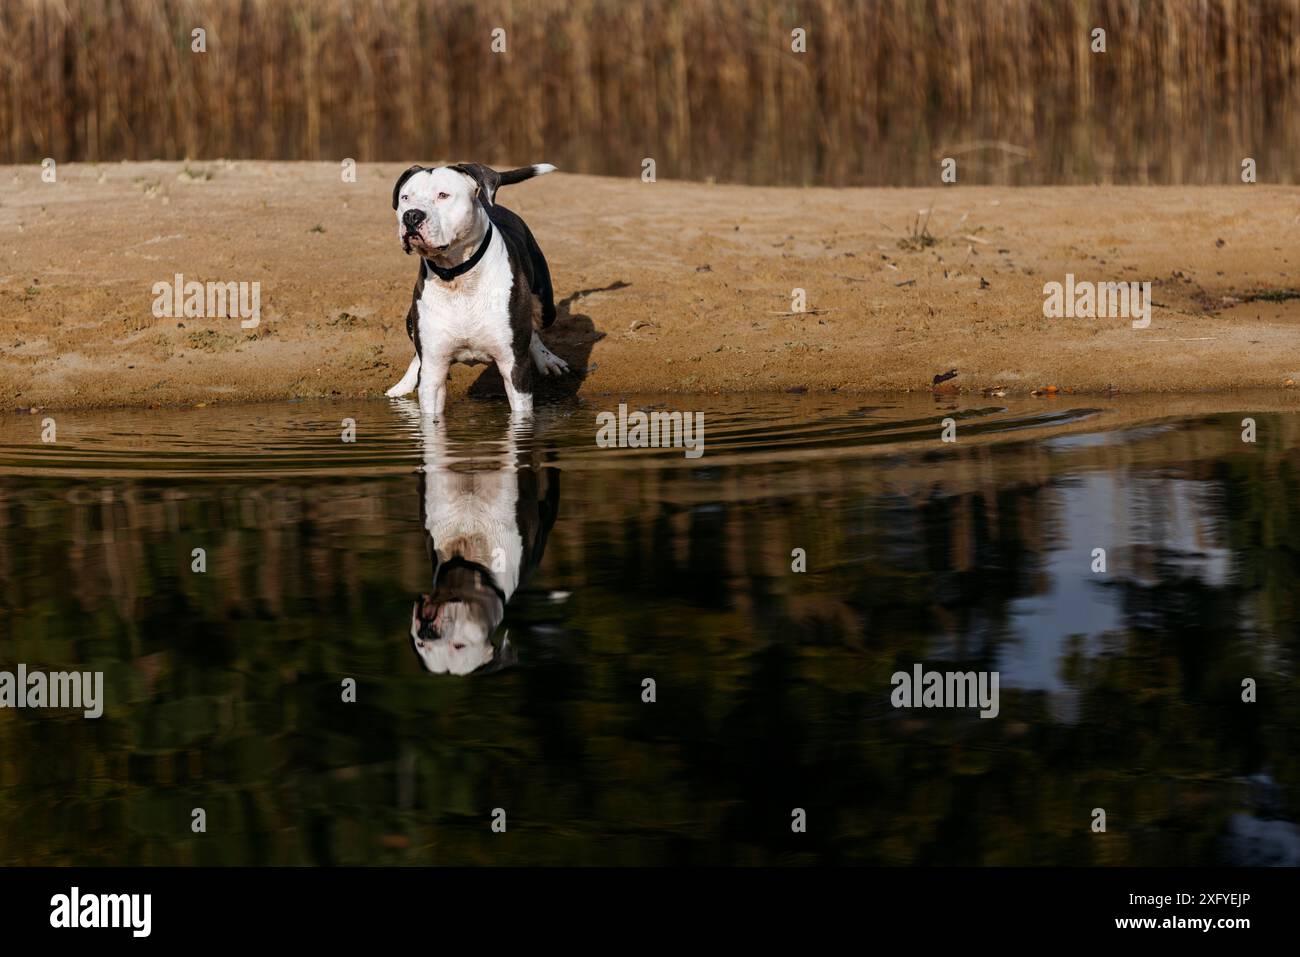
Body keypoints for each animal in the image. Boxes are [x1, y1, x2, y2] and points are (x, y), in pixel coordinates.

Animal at [384, 159, 569, 416]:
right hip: (411, 320)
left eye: (443, 195)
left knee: (534, 327)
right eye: (405, 197)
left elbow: (521, 413)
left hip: (546, 308)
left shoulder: (514, 366)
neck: (457, 276)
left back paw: (547, 359)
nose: (411, 216)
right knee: (417, 355)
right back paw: (403, 384)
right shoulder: (433, 372)